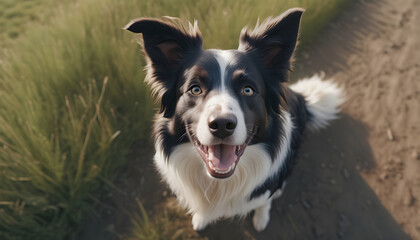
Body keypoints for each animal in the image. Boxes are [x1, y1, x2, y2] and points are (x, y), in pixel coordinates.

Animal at [124, 8, 344, 232]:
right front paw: (200, 219)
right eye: (195, 89)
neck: (219, 183)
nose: (222, 125)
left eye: (248, 90)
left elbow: (264, 200)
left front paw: (261, 218)